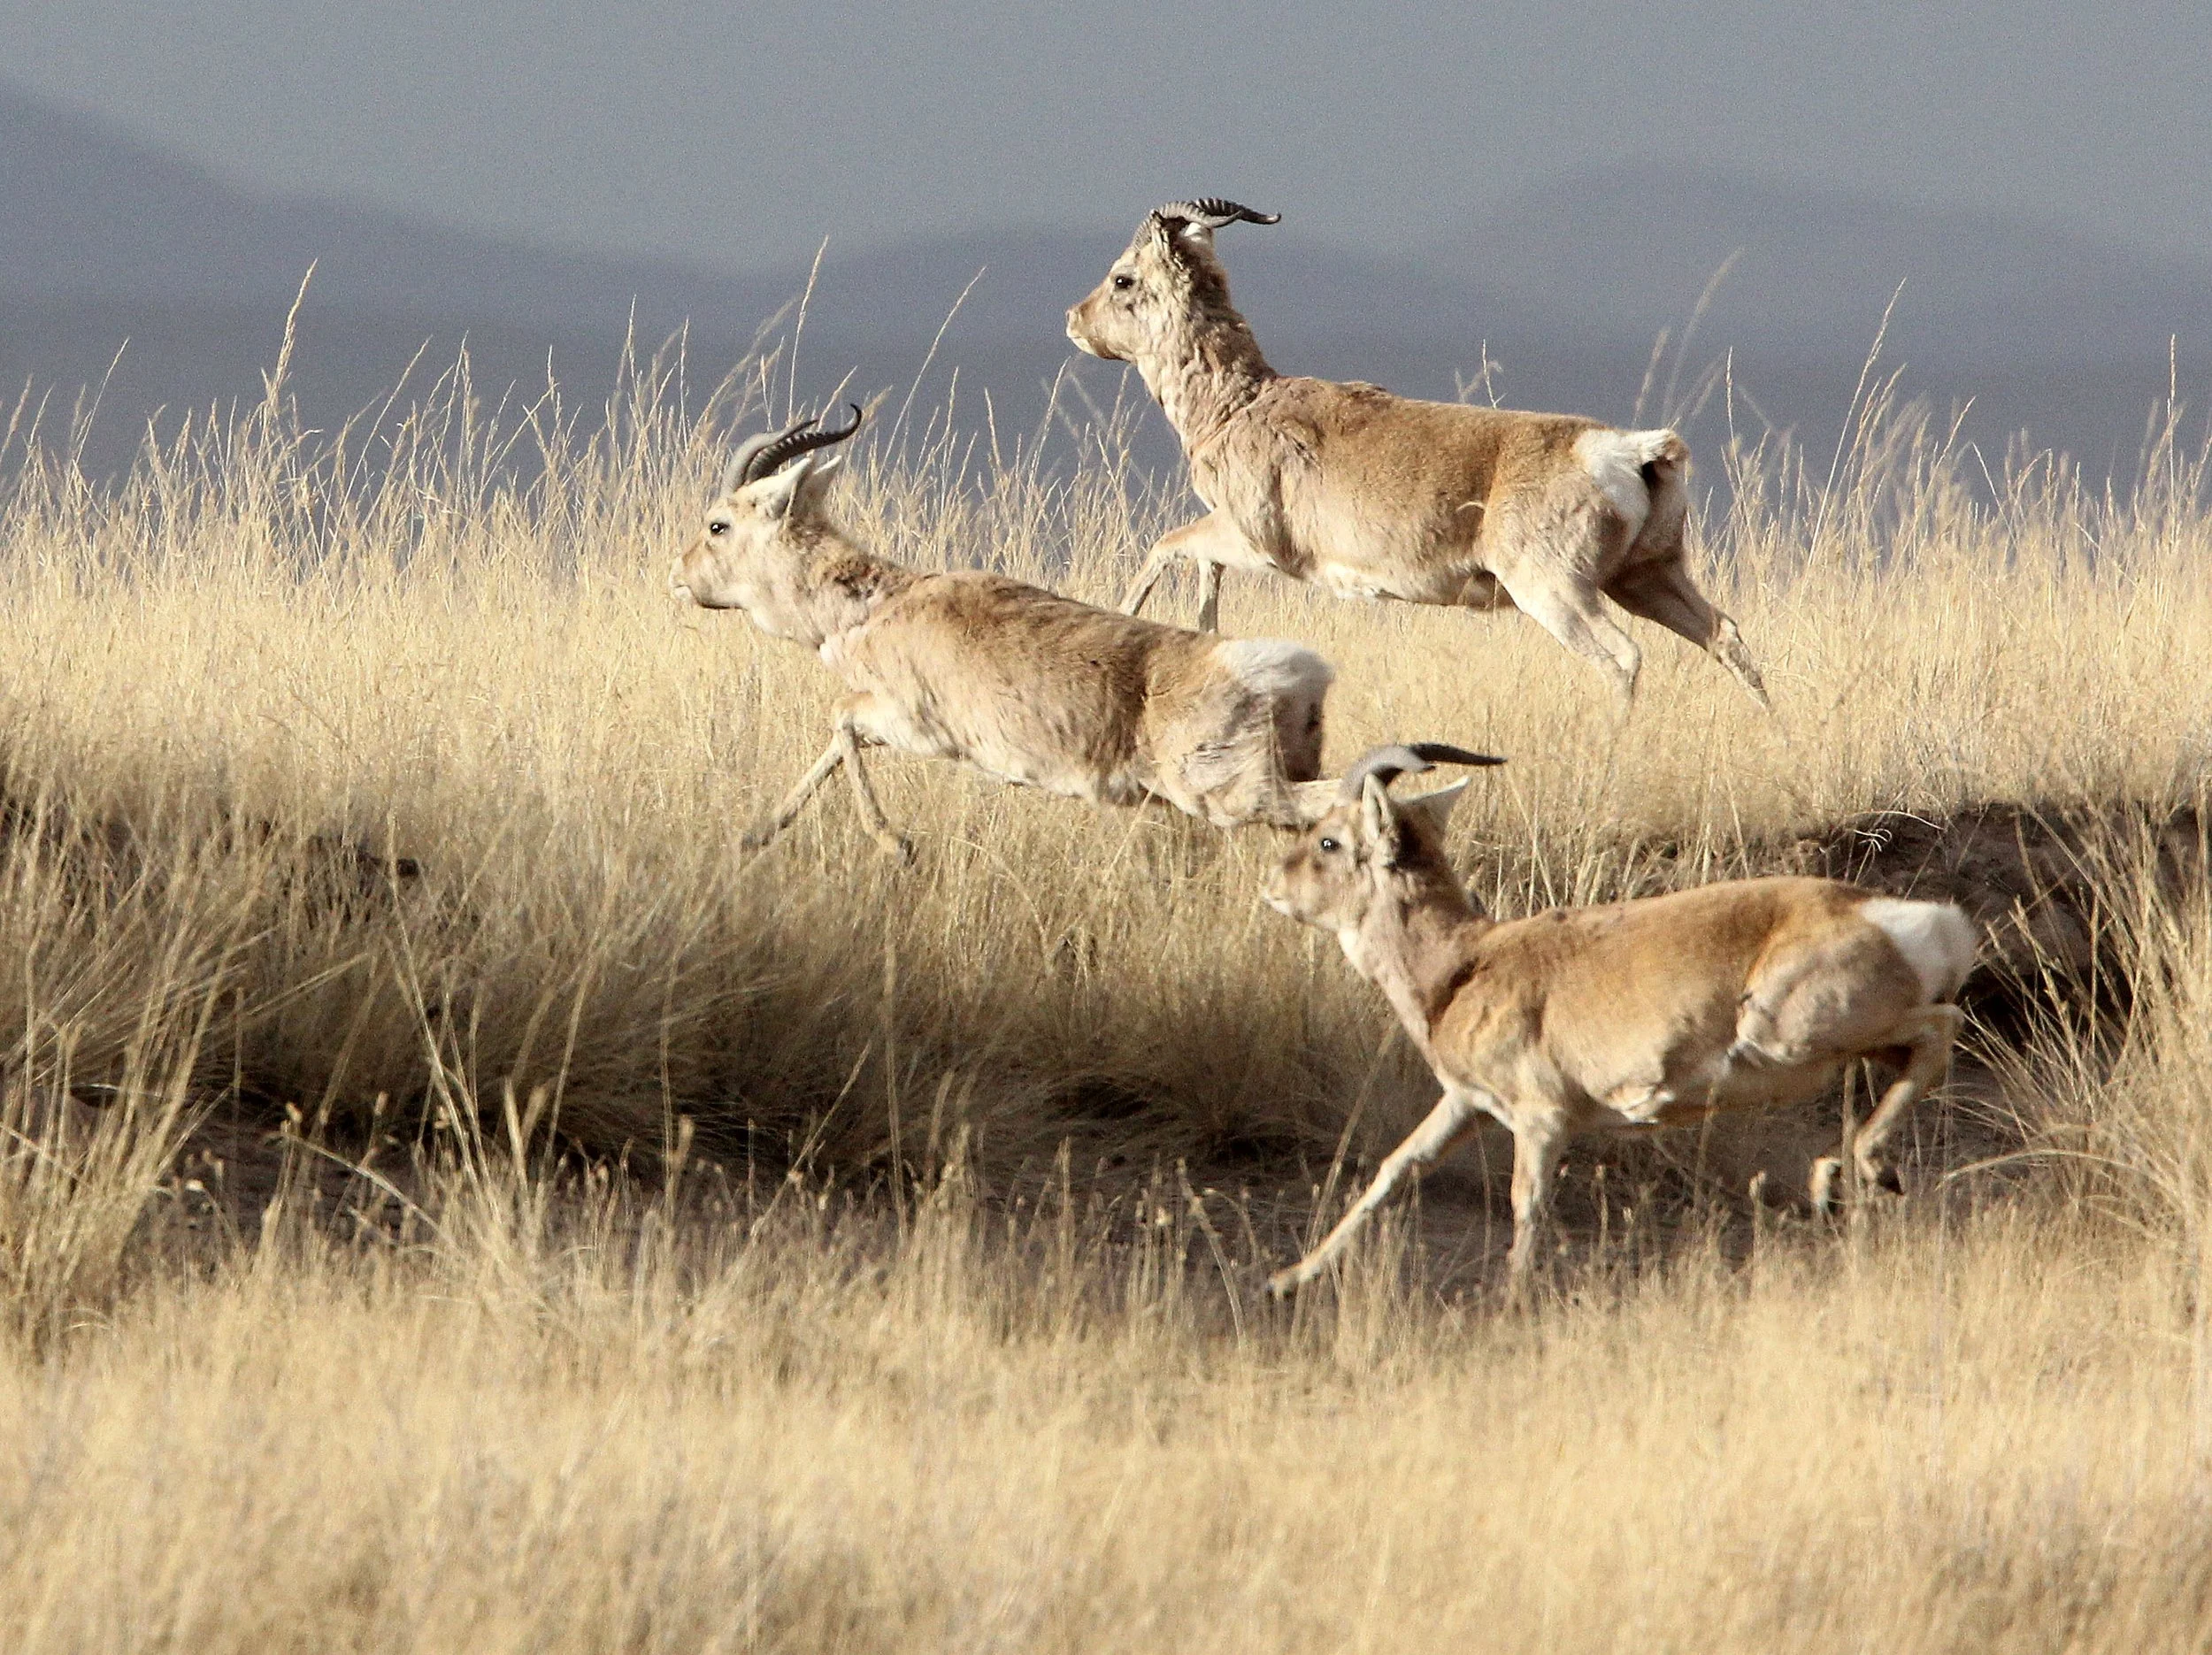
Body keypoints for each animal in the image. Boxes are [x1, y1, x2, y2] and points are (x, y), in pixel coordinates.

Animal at [673, 407, 1340, 856]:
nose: (678, 579)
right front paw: (755, 834)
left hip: (1235, 795)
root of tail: (1298, 674)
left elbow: (840, 719)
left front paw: (897, 844)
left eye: (718, 524)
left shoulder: (917, 728)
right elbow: (834, 747)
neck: (884, 603)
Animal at [1066, 200, 1769, 706]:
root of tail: (1627, 449)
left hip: (1558, 592)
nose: (1073, 319)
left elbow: (1167, 546)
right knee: (1725, 635)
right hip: (1645, 579)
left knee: (1622, 658)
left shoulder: (1257, 541)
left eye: (1124, 277)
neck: (1240, 405)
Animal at [1262, 745, 1976, 1297]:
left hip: (1785, 1037)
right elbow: (1398, 1166)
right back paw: (1839, 1178)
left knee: (1942, 1025)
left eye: (1328, 839)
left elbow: (1526, 1203)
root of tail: (1915, 919)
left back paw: (1865, 1167)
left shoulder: (1542, 1121)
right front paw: (1288, 1278)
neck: (1466, 964)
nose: (1271, 886)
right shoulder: (1466, 1104)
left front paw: (1513, 1301)